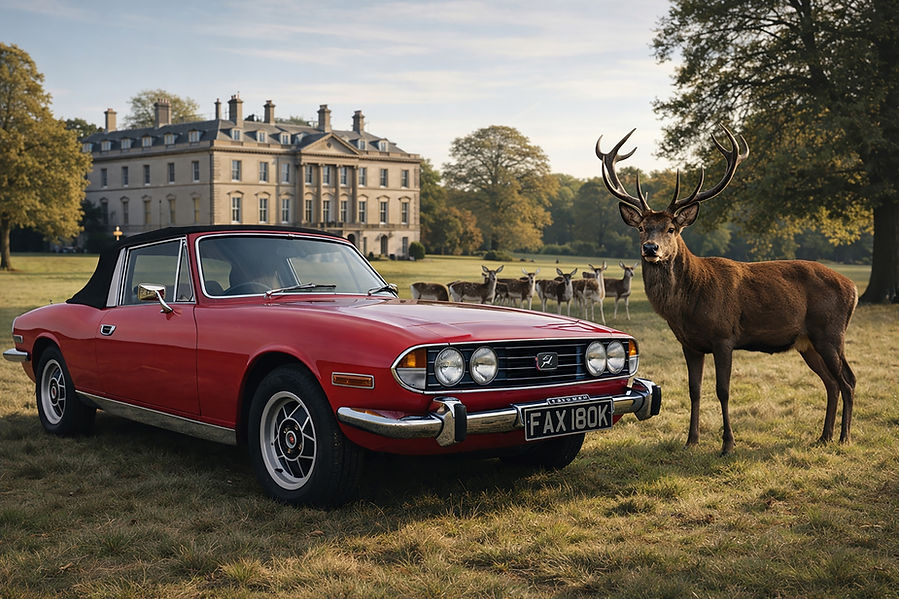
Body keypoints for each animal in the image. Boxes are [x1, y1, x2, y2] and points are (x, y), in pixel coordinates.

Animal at [596, 125, 857, 455]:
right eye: (642, 227)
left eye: (671, 229)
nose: (650, 248)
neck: (688, 304)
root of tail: (853, 287)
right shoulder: (690, 344)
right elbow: (694, 390)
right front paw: (691, 440)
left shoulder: (724, 336)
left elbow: (723, 390)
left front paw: (727, 444)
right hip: (807, 342)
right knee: (831, 382)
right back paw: (823, 437)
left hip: (831, 332)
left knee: (848, 380)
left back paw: (844, 437)